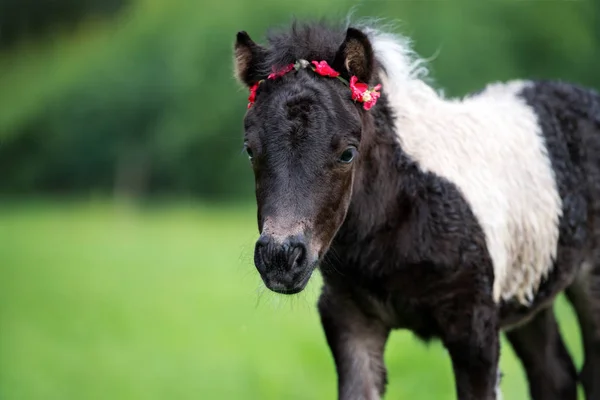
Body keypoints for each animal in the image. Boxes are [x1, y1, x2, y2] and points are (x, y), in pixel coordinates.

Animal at [232, 19, 600, 400]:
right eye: (250, 149)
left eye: (348, 153)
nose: (280, 258)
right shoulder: (348, 317)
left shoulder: (475, 325)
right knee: (554, 373)